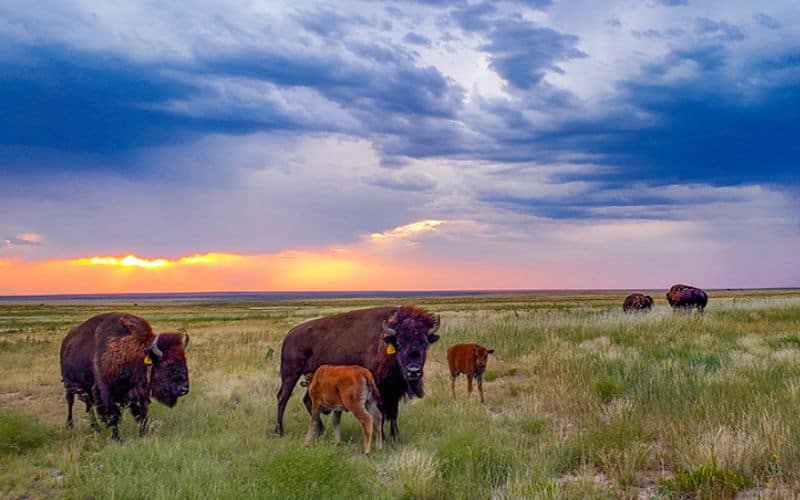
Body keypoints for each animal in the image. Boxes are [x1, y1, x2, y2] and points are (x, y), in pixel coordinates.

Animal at [60, 312, 190, 439]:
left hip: (85, 389)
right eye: (168, 364)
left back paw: (95, 428)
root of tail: (66, 341)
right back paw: (70, 425)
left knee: (88, 406)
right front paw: (117, 439)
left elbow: (141, 416)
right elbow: (112, 417)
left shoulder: (138, 394)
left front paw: (143, 435)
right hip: (69, 384)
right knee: (71, 401)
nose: (184, 389)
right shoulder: (106, 393)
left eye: (184, 361)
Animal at [274, 305, 440, 439]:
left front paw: (395, 436)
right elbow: (381, 412)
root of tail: (290, 333)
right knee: (283, 397)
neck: (386, 341)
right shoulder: (379, 388)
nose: (414, 371)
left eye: (425, 343)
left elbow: (393, 413)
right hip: (290, 374)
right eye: (399, 343)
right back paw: (279, 432)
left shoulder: (394, 390)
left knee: (307, 400)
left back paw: (320, 431)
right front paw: (382, 437)